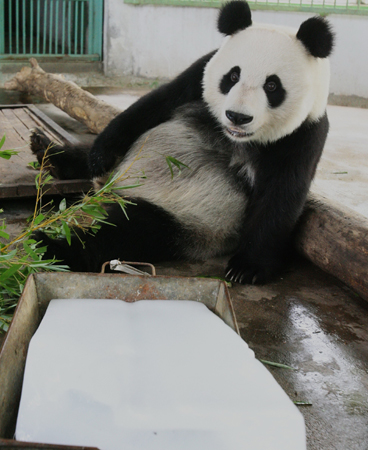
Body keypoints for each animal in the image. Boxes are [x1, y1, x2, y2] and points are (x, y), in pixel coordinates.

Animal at [31, 0, 334, 284]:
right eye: (232, 76)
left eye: (272, 86)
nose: (237, 116)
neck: (232, 136)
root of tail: (109, 191)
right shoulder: (197, 76)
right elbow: (151, 106)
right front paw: (99, 155)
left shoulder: (303, 135)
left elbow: (280, 197)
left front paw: (247, 267)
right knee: (86, 160)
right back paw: (49, 152)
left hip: (191, 221)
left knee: (127, 232)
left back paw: (52, 248)